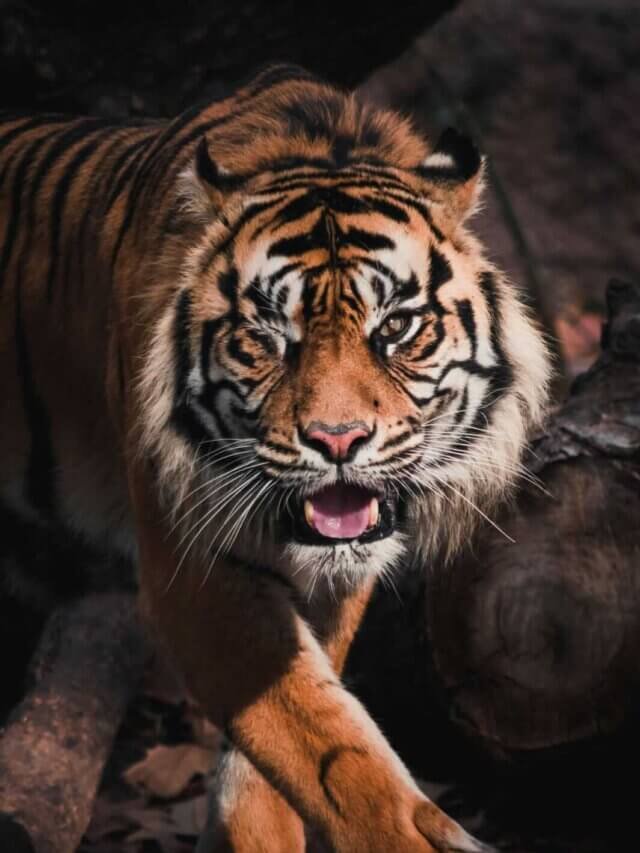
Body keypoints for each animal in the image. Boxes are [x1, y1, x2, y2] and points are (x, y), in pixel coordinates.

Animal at [0, 65, 550, 852]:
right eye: (267, 337)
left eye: (396, 328)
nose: (339, 440)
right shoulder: (192, 570)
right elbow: (326, 746)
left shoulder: (330, 586)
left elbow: (287, 748)